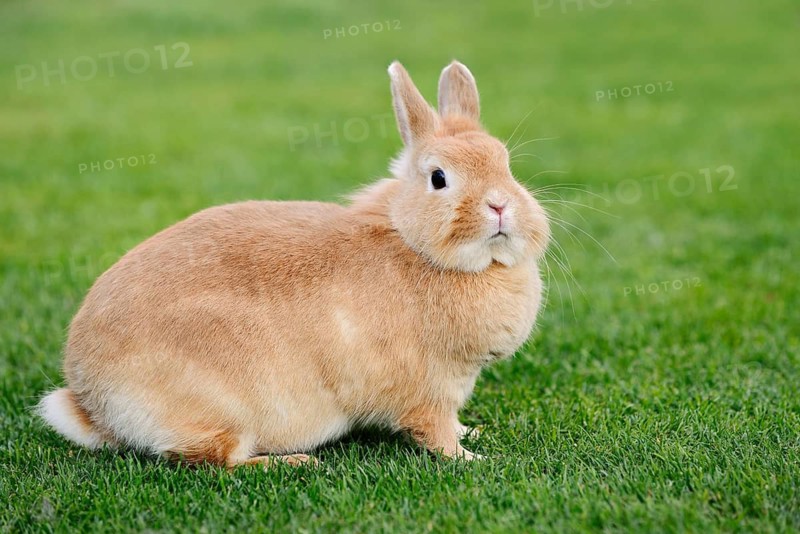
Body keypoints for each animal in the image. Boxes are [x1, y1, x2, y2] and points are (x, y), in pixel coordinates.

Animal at [38, 60, 550, 467]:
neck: (412, 244)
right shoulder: (428, 391)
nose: (501, 205)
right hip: (224, 411)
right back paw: (292, 463)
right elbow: (436, 434)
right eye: (439, 178)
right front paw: (473, 458)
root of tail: (91, 400)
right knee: (212, 460)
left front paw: (474, 432)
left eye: (506, 165)